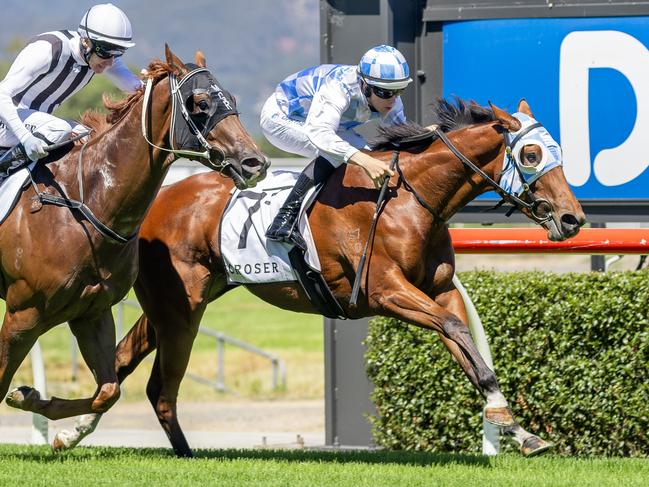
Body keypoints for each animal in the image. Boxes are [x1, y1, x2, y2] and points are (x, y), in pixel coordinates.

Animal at [0, 45, 268, 426]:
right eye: (200, 103)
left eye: (230, 99)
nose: (255, 162)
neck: (85, 202)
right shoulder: (23, 316)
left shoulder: (91, 311)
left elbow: (108, 392)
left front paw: (32, 397)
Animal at [54, 98, 584, 458]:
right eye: (531, 154)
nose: (573, 219)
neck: (410, 201)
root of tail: (157, 200)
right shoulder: (385, 291)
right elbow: (455, 330)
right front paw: (508, 422)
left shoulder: (440, 290)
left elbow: (470, 349)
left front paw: (516, 428)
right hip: (180, 307)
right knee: (155, 384)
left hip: (179, 302)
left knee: (123, 359)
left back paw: (71, 432)